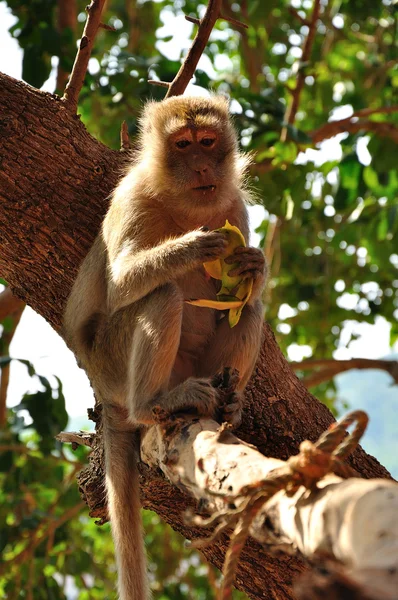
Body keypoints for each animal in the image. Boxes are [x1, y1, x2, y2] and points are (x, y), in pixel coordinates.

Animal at [63, 96, 266, 596]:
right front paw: (194, 246)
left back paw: (229, 402)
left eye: (208, 142)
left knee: (249, 308)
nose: (201, 167)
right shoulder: (132, 198)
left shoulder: (233, 204)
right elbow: (121, 286)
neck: (184, 204)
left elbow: (243, 291)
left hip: (195, 365)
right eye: (183, 146)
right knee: (162, 294)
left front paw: (253, 265)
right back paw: (153, 403)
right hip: (111, 360)